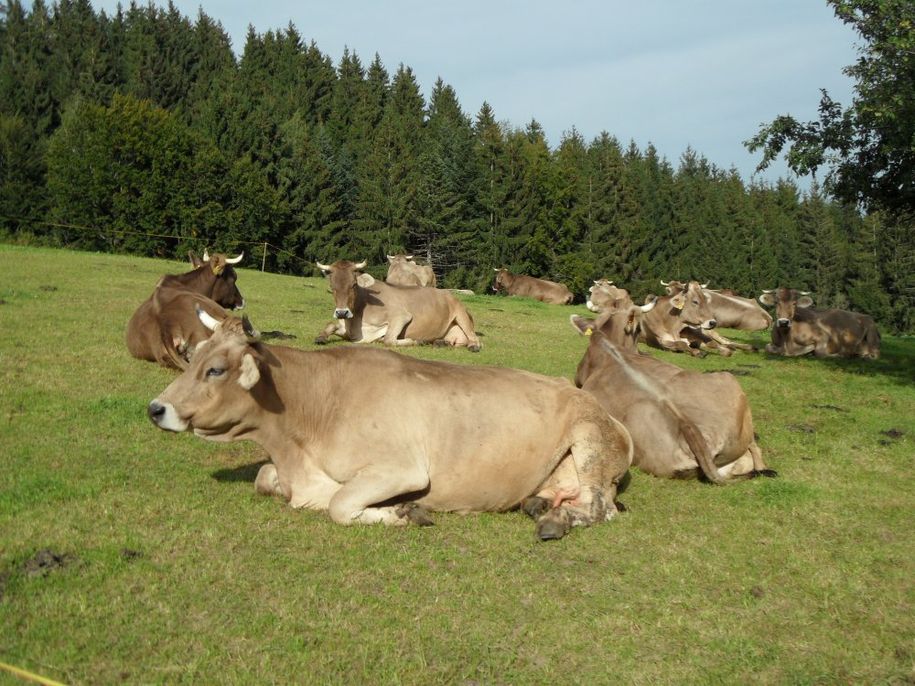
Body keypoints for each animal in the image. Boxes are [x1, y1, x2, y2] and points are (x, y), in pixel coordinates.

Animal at [150, 312, 636, 544]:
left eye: (215, 369)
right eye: (192, 357)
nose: (156, 408)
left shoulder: (402, 469)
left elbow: (340, 505)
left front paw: (401, 513)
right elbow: (265, 478)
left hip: (590, 442)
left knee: (600, 508)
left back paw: (555, 522)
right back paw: (539, 506)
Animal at [314, 260, 484, 352]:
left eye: (354, 285)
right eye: (332, 287)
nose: (342, 313)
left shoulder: (401, 316)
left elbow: (388, 339)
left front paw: (416, 341)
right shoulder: (347, 329)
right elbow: (330, 325)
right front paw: (320, 337)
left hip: (460, 313)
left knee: (474, 337)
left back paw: (473, 346)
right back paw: (441, 342)